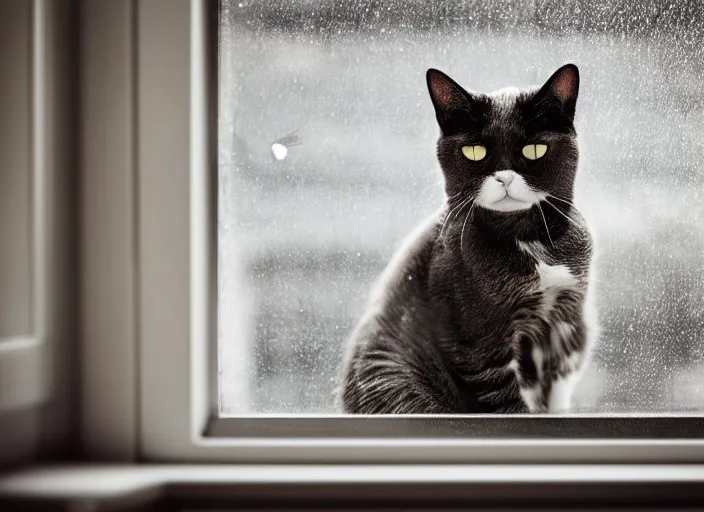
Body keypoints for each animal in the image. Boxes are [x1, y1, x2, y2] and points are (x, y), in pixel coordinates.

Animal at [338, 65, 596, 416]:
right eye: (474, 151)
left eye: (534, 150)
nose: (504, 177)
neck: (527, 238)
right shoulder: (477, 345)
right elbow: (507, 402)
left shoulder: (565, 322)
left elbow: (555, 389)